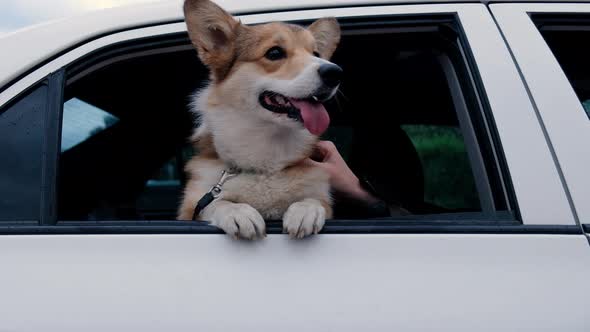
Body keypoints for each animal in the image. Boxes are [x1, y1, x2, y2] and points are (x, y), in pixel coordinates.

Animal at [177, 0, 342, 240]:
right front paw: (238, 212)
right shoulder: (193, 205)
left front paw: (305, 210)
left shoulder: (321, 195)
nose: (335, 72)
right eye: (274, 52)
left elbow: (314, 200)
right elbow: (215, 204)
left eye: (316, 53)